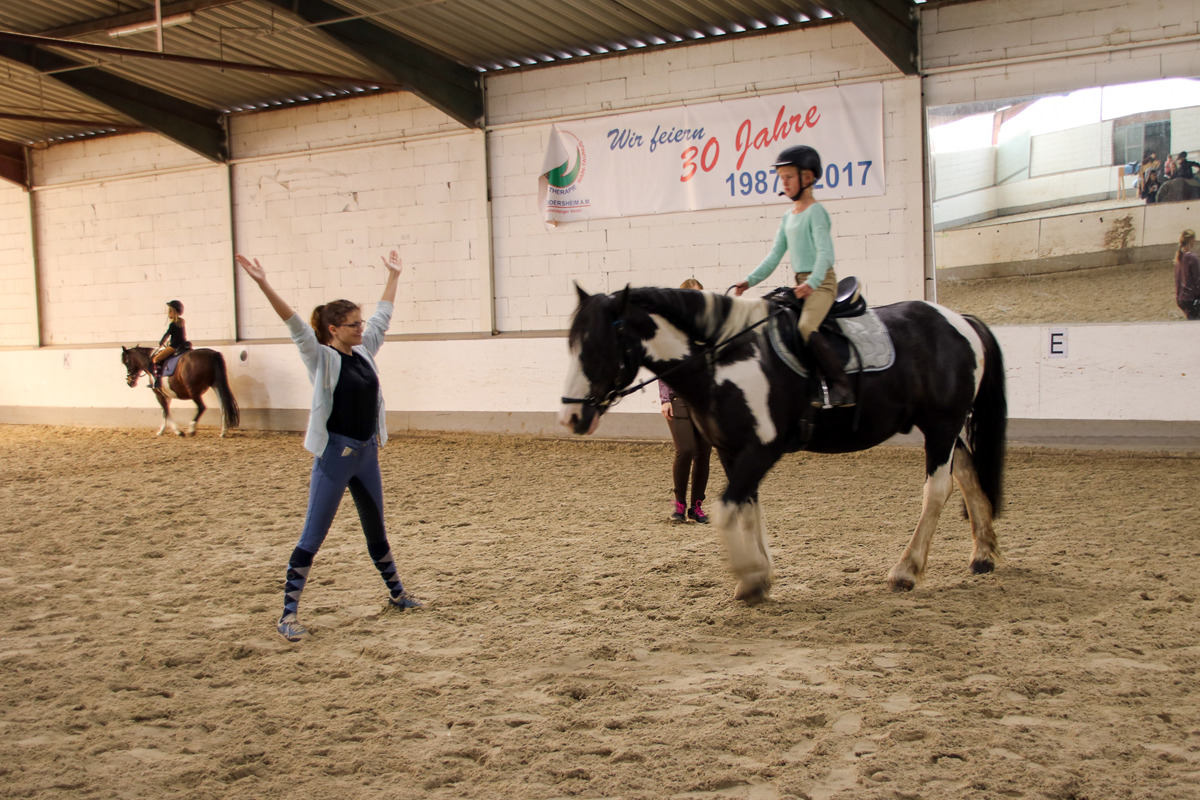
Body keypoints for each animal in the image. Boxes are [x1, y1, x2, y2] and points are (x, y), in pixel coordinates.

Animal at [556, 284, 1008, 604]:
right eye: (571, 344)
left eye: (595, 346)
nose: (570, 417)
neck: (721, 363)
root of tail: (959, 320)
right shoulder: (731, 451)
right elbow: (747, 508)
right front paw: (759, 575)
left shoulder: (762, 450)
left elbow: (726, 509)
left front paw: (749, 577)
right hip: (946, 428)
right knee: (968, 475)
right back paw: (983, 555)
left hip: (941, 425)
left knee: (938, 490)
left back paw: (906, 571)